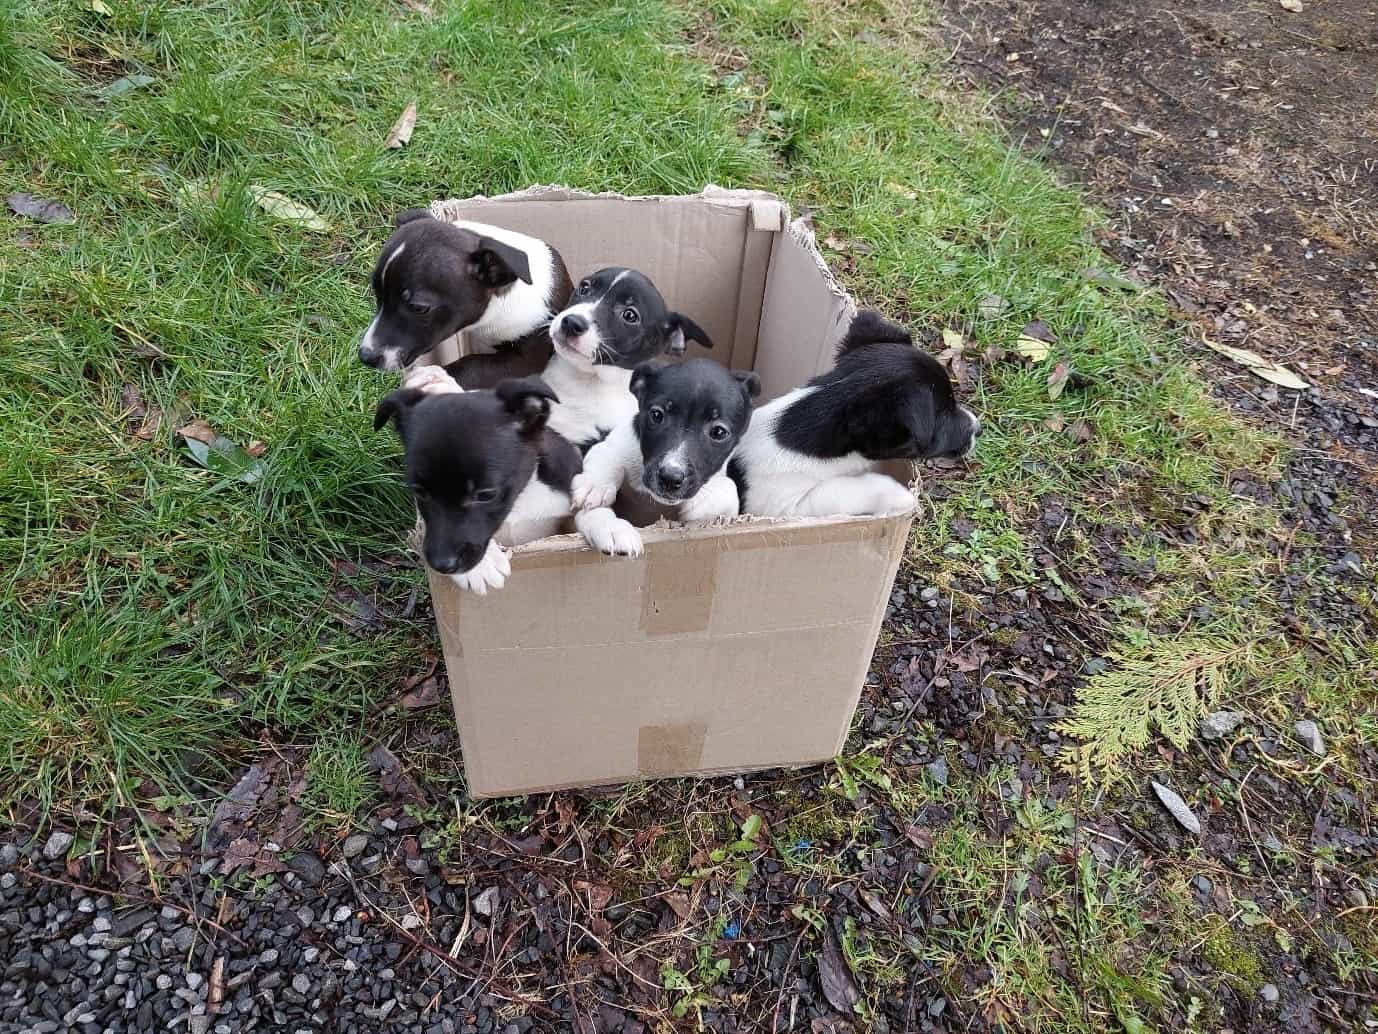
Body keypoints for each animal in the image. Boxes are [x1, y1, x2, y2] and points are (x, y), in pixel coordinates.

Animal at [374, 366, 636, 590]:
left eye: (486, 494)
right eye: (419, 492)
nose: (442, 565)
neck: (520, 500)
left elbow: (585, 507)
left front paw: (610, 526)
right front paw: (482, 565)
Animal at [570, 361, 766, 562]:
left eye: (719, 432)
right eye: (656, 415)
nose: (670, 478)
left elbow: (728, 487)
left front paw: (705, 501)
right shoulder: (611, 445)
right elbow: (606, 458)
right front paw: (601, 500)